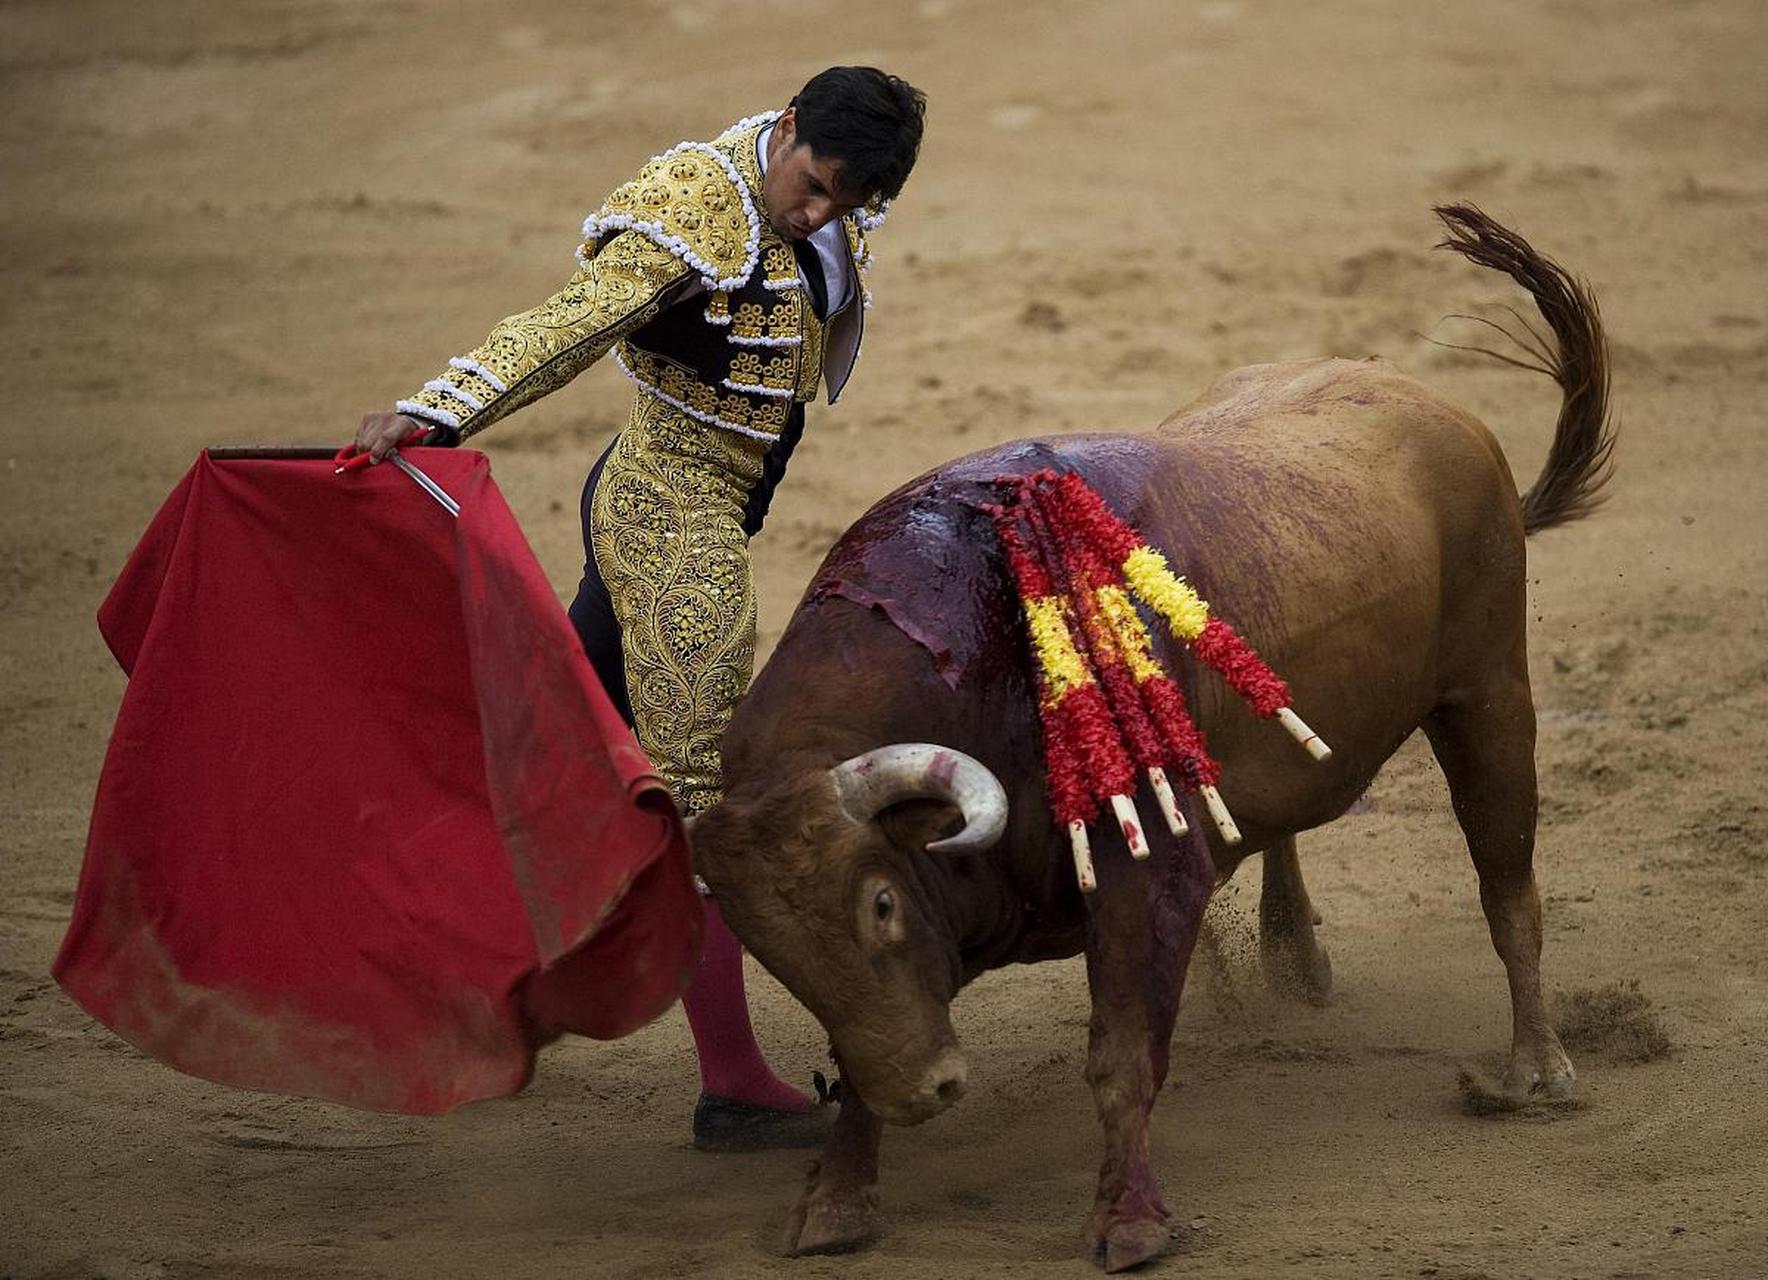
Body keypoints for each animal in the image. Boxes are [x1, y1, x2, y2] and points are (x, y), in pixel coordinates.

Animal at [689, 210, 1619, 1272]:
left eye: (882, 903)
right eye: (765, 946)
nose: (927, 1092)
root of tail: (1434, 404)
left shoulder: (1147, 879)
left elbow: (1123, 1055)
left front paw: (1129, 1222)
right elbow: (853, 1064)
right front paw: (835, 1202)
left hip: (1490, 691)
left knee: (1508, 886)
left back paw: (1535, 1073)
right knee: (1289, 819)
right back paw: (1296, 963)